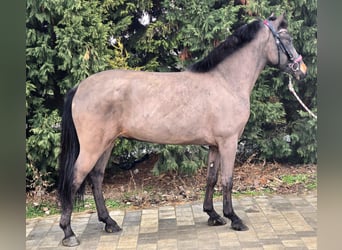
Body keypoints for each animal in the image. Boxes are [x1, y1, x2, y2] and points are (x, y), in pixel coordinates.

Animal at [56, 13, 308, 246]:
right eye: (287, 38)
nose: (302, 70)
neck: (226, 82)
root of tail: (80, 87)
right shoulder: (229, 142)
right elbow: (227, 180)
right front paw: (234, 218)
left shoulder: (215, 145)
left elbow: (211, 178)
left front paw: (213, 215)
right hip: (92, 146)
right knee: (75, 179)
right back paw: (69, 233)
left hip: (107, 143)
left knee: (96, 178)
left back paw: (109, 222)